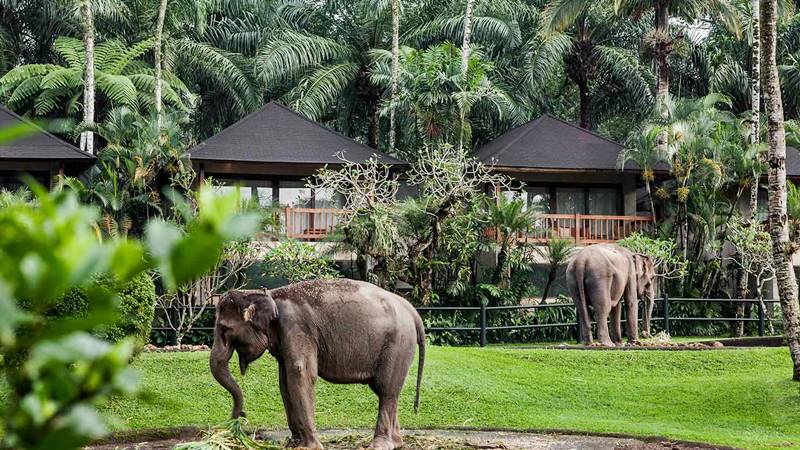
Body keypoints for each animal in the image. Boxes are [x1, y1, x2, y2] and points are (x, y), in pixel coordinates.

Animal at [210, 279, 426, 450]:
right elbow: (284, 381)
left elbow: (301, 373)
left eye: (224, 329)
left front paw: (309, 446)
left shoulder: (297, 328)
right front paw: (293, 444)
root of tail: (413, 312)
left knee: (386, 390)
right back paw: (396, 442)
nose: (241, 416)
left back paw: (378, 445)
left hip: (398, 345)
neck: (269, 294)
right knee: (389, 392)